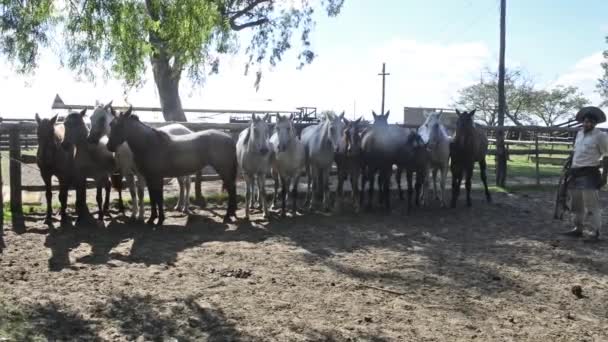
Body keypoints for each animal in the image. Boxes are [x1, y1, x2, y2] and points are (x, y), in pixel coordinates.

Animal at [104, 105, 238, 226]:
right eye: (111, 124)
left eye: (121, 125)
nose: (109, 146)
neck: (149, 144)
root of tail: (230, 139)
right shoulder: (149, 177)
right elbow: (153, 197)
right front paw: (152, 219)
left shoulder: (156, 177)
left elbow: (158, 198)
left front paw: (159, 220)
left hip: (224, 170)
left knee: (231, 190)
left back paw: (227, 216)